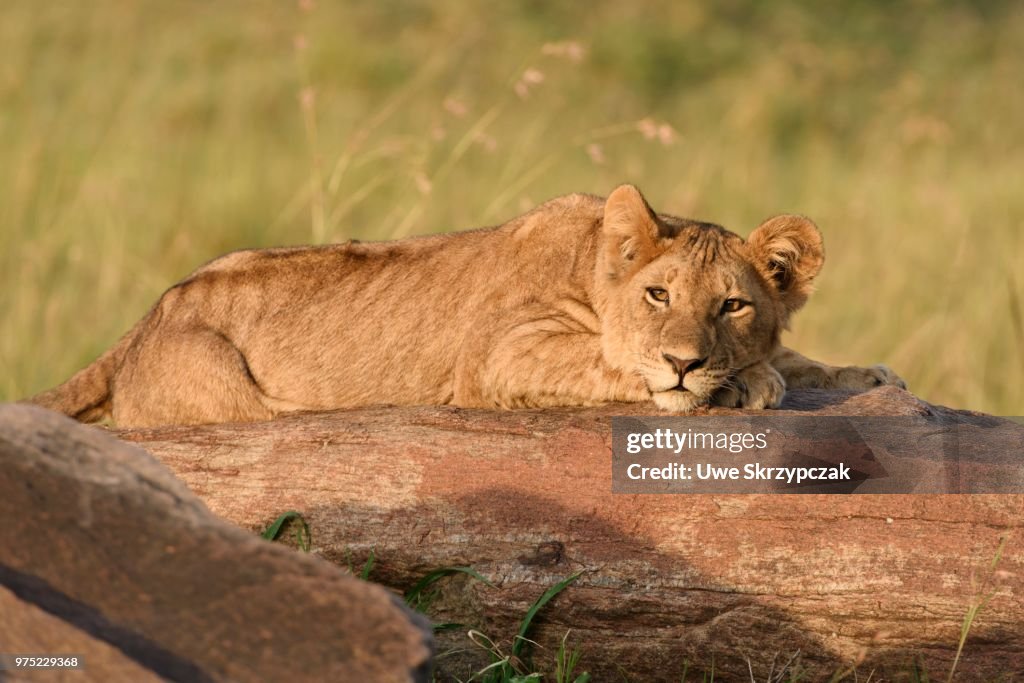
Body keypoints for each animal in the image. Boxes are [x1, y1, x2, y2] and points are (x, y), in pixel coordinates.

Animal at [26, 184, 904, 427]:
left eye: (733, 306)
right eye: (657, 294)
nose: (686, 360)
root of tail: (149, 314)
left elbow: (803, 358)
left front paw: (864, 375)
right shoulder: (499, 356)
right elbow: (614, 361)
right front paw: (735, 383)